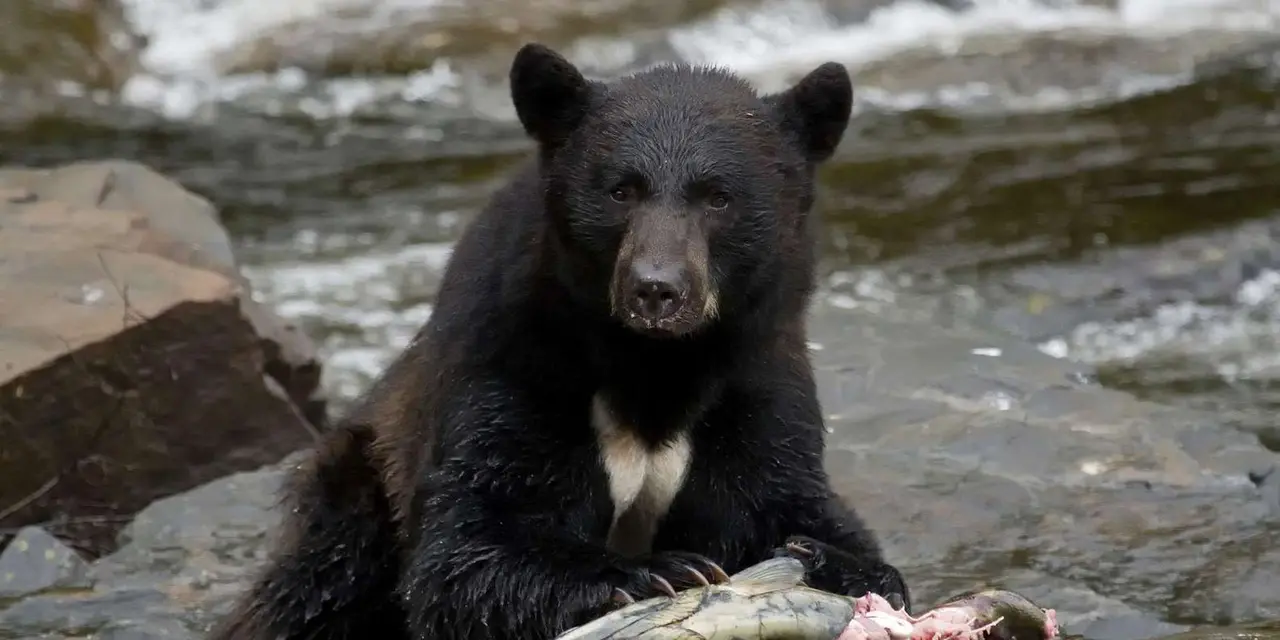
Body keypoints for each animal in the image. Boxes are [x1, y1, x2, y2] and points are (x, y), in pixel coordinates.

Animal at [209, 42, 910, 640]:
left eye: (718, 197)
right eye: (622, 189)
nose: (657, 289)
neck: (654, 366)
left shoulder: (756, 377)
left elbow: (789, 496)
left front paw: (829, 558)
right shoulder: (515, 362)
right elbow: (470, 545)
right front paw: (656, 571)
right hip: (355, 486)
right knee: (319, 584)